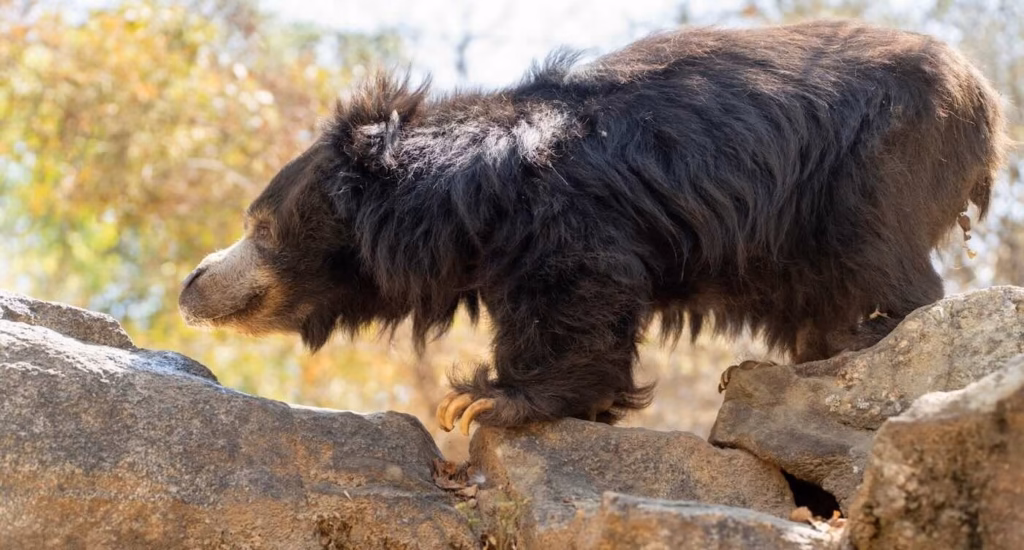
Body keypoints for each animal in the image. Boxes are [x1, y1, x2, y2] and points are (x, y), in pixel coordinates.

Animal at [179, 20, 1006, 435]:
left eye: (259, 226)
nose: (191, 285)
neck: (462, 199)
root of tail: (986, 96)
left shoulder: (565, 213)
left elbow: (578, 288)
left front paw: (487, 400)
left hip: (882, 157)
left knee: (881, 252)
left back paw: (874, 336)